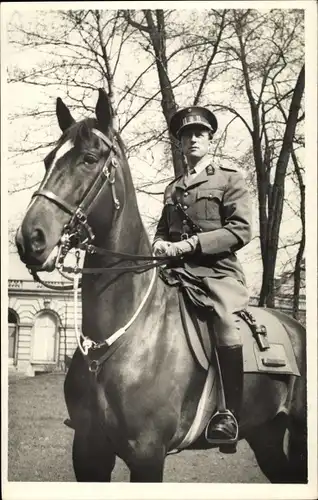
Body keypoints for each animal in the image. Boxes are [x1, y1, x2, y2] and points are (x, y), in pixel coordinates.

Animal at [16, 88, 306, 482]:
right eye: (49, 159)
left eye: (89, 159)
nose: (30, 238)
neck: (124, 335)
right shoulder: (89, 451)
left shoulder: (147, 455)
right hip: (266, 436)